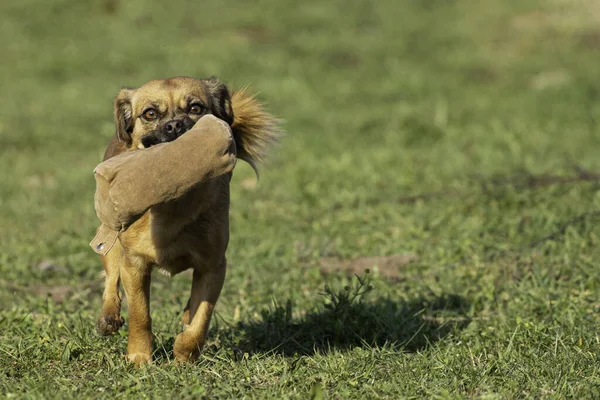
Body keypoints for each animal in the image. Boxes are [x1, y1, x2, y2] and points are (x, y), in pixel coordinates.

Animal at [96, 75, 284, 366]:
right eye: (150, 113)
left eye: (195, 108)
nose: (175, 125)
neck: (173, 202)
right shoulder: (135, 265)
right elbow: (140, 314)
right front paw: (139, 357)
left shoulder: (213, 266)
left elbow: (201, 318)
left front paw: (184, 354)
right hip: (111, 238)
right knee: (110, 277)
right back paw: (108, 317)